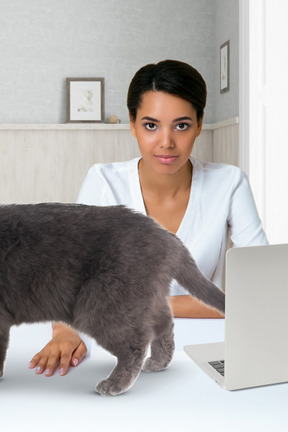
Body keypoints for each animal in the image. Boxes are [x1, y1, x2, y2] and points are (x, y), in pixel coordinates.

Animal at [0, 202, 225, 394]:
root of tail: (166, 236)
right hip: (143, 296)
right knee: (164, 323)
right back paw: (159, 361)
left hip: (101, 304)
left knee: (135, 343)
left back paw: (115, 383)